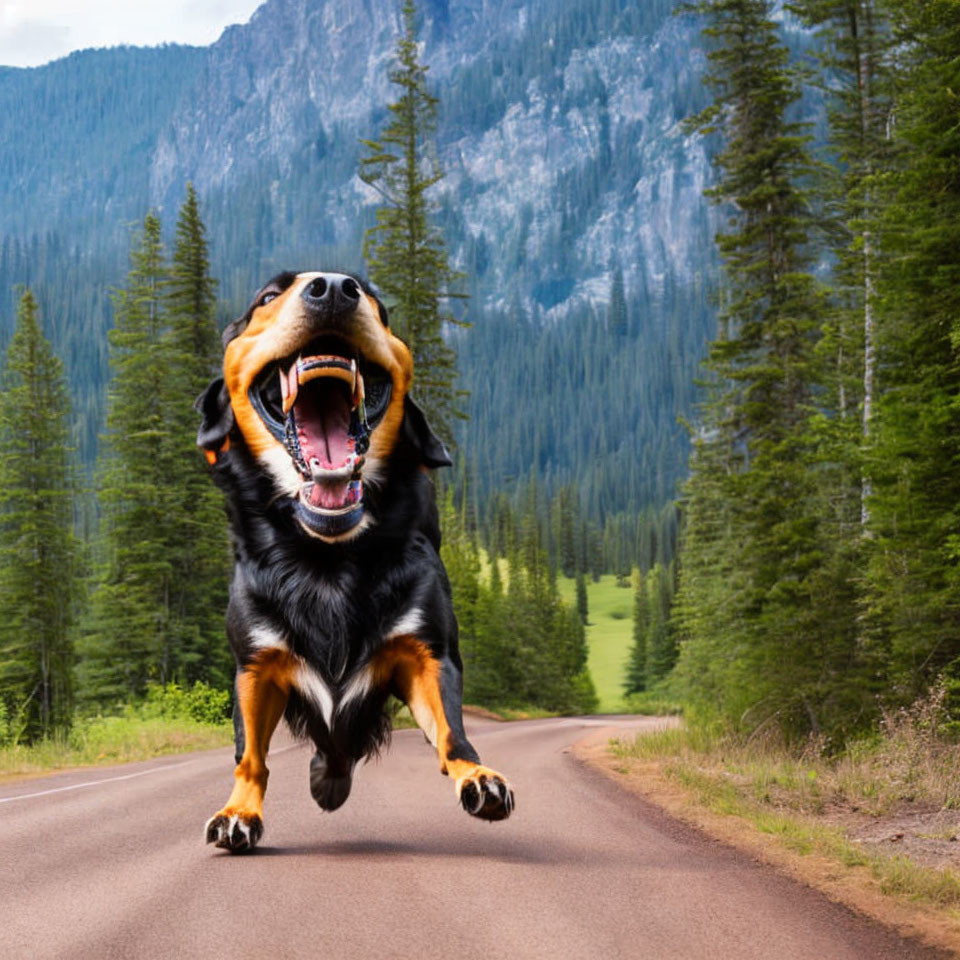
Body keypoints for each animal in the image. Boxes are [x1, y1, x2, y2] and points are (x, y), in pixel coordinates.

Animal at [196, 272, 516, 856]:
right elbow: (249, 755)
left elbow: (452, 732)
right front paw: (239, 812)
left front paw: (479, 776)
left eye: (376, 302)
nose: (332, 287)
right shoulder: (255, 664)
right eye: (268, 297)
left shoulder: (426, 651)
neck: (329, 555)